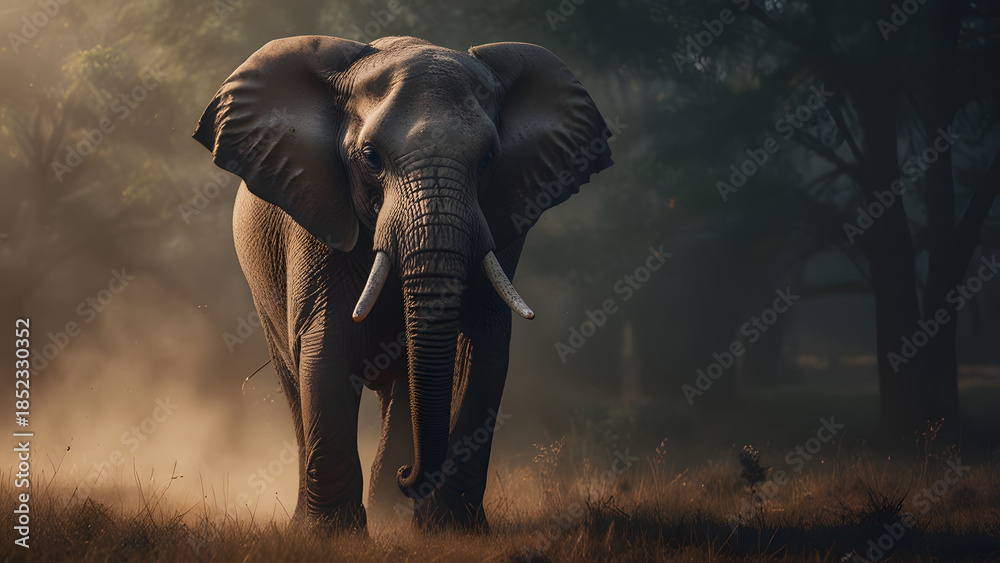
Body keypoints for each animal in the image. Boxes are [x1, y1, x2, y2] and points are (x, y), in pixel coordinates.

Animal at [193, 35, 612, 532]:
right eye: (371, 157)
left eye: (488, 159)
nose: (408, 476)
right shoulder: (317, 218)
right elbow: (327, 345)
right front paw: (333, 536)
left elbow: (483, 352)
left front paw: (451, 531)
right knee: (295, 380)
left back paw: (391, 518)